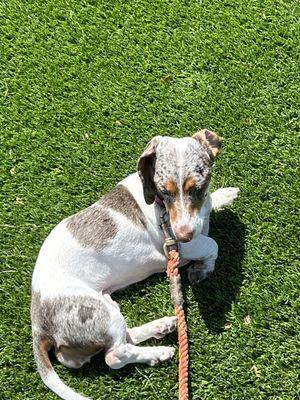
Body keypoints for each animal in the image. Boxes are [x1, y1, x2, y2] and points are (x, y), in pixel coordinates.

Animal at [31, 130, 239, 398]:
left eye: (198, 187)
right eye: (164, 191)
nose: (182, 235)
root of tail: (38, 325)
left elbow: (212, 206)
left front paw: (225, 195)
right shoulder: (184, 247)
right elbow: (213, 244)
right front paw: (203, 268)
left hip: (107, 308)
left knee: (125, 337)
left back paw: (162, 326)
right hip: (100, 313)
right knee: (114, 356)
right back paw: (158, 353)